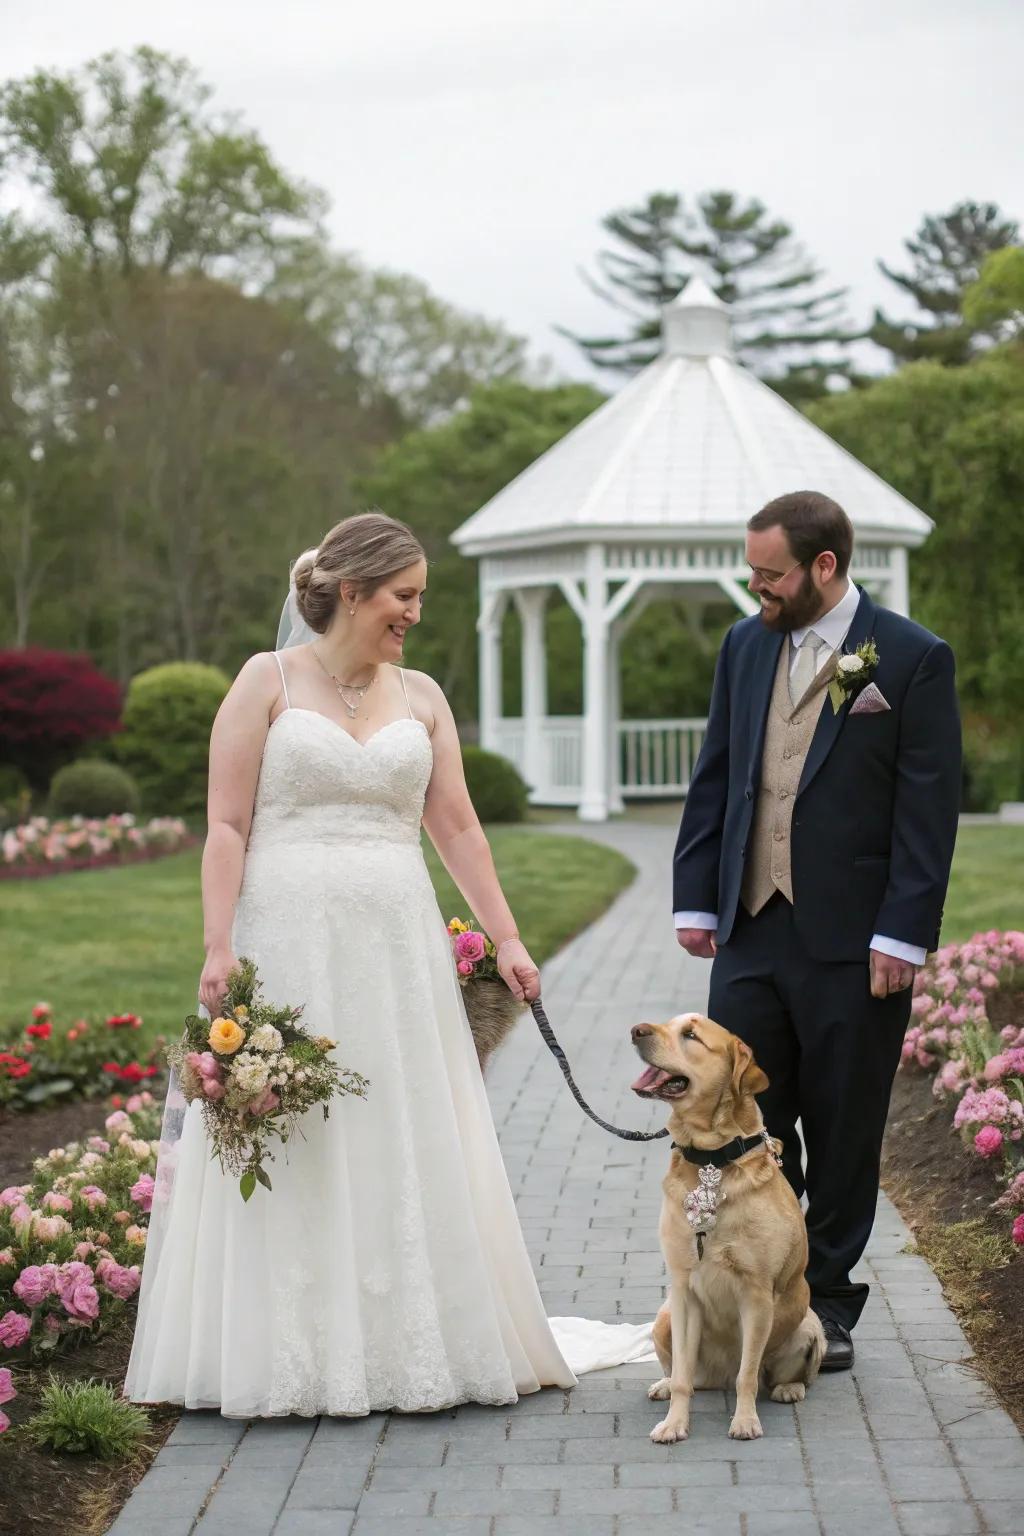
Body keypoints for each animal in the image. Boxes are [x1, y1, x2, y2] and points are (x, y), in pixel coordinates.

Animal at [629, 1013, 829, 1443]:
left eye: (690, 1035)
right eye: (667, 1023)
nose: (636, 1031)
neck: (711, 1159)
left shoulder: (756, 1294)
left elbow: (747, 1375)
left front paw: (745, 1420)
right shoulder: (684, 1291)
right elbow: (684, 1376)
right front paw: (674, 1423)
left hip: (809, 1325)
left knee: (778, 1375)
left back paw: (789, 1388)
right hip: (664, 1318)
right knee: (690, 1376)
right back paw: (666, 1385)